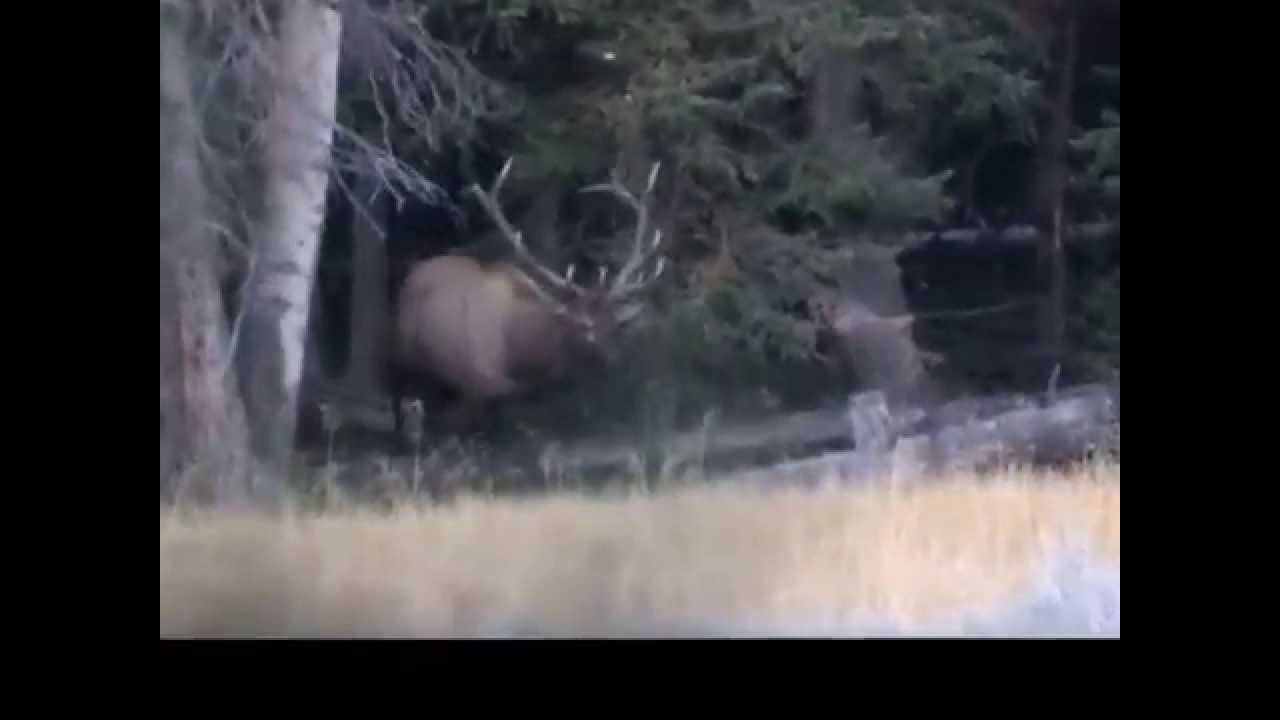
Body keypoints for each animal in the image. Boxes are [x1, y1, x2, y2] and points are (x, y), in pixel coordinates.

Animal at [387, 157, 668, 440]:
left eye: (614, 325)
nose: (616, 362)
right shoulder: (479, 386)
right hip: (404, 357)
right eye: (584, 327)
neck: (524, 357)